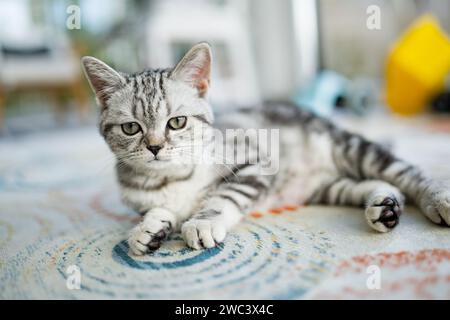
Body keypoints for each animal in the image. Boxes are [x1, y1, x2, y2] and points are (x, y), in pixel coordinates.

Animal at [81, 43, 450, 258]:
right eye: (132, 128)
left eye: (177, 122)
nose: (156, 147)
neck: (172, 179)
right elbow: (154, 210)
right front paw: (148, 229)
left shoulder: (255, 162)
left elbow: (224, 196)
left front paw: (202, 222)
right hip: (325, 186)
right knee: (369, 184)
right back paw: (384, 206)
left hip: (352, 149)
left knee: (407, 174)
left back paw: (436, 201)